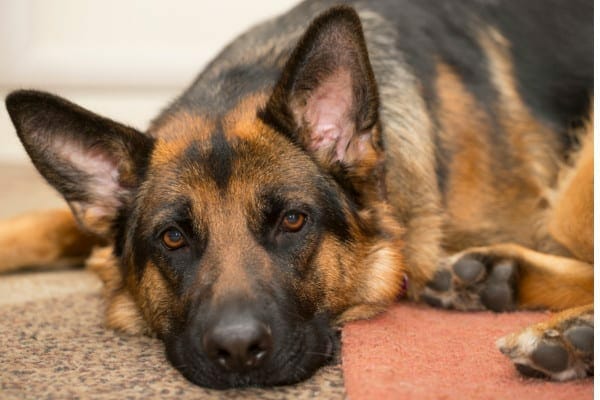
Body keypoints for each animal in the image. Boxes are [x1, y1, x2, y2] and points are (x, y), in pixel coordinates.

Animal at [0, 0, 592, 390]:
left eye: (292, 221)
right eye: (172, 238)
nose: (237, 350)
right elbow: (43, 223)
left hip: (572, 191)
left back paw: (569, 332)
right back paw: (495, 278)